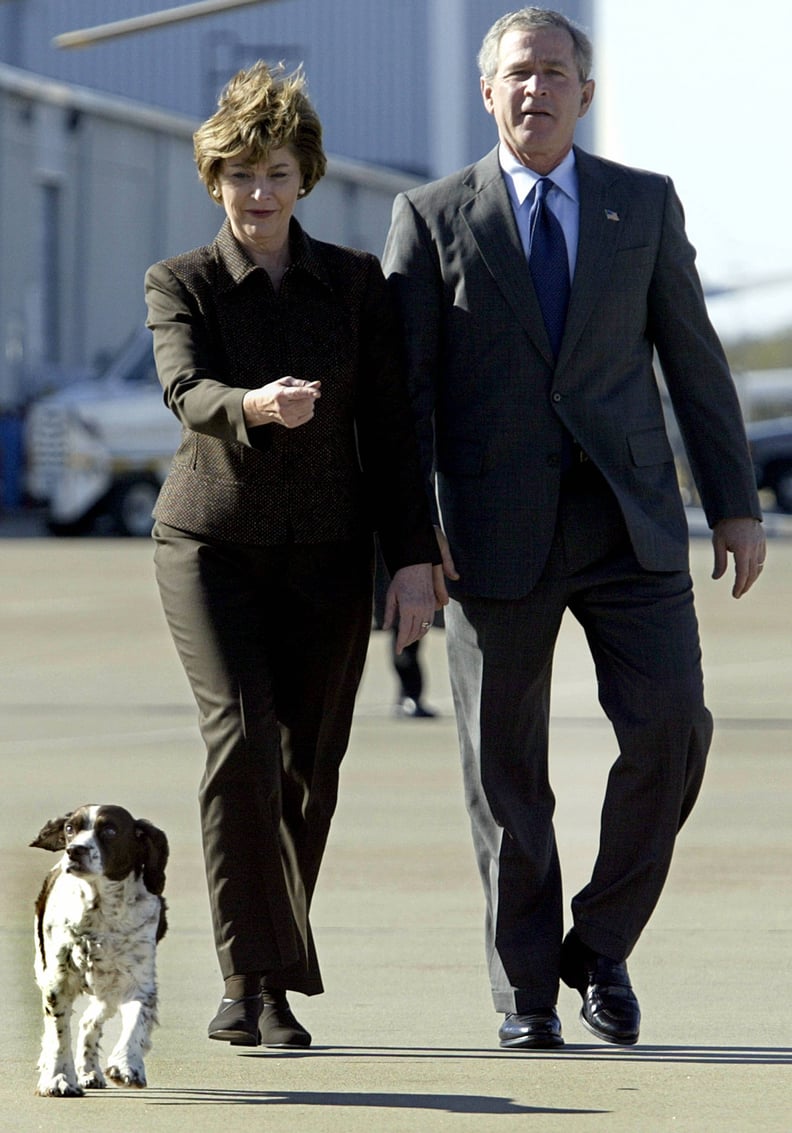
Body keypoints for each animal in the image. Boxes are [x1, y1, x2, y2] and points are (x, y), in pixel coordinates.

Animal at [30, 806, 167, 1096]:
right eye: (70, 828)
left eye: (110, 830)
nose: (74, 850)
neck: (100, 910)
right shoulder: (58, 981)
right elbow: (59, 1033)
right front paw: (58, 1077)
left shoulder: (137, 982)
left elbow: (136, 1022)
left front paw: (127, 1066)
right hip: (44, 967)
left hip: (107, 990)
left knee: (89, 1021)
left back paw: (90, 1070)